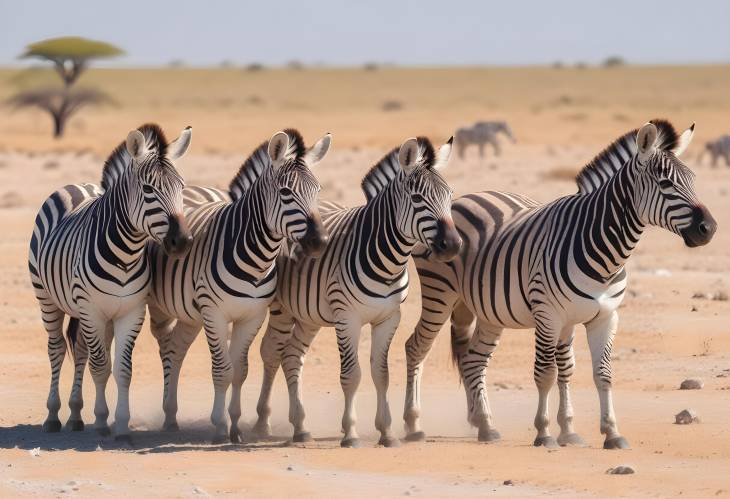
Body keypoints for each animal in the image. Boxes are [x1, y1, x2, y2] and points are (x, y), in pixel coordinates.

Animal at [29, 124, 192, 442]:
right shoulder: (92, 310)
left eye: (181, 187)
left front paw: (121, 426)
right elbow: (101, 366)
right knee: (57, 349)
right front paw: (104, 422)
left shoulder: (130, 311)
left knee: (80, 350)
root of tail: (78, 185)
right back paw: (53, 416)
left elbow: (122, 369)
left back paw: (76, 415)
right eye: (148, 190)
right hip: (48, 299)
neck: (126, 255)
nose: (182, 242)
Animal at [146, 130, 328, 446]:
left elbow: (240, 370)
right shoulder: (215, 313)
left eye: (317, 191)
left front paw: (235, 425)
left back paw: (170, 417)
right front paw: (220, 427)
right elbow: (222, 370)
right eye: (286, 193)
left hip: (190, 314)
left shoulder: (252, 316)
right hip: (159, 308)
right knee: (164, 349)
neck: (254, 258)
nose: (319, 241)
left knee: (177, 350)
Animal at [253, 136, 458, 450]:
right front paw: (350, 433)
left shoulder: (389, 318)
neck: (386, 261)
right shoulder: (347, 317)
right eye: (417, 199)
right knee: (271, 353)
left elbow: (381, 374)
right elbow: (352, 375)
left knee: (291, 356)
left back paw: (300, 427)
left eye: (449, 196)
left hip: (308, 315)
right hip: (281, 309)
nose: (453, 245)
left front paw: (386, 432)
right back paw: (262, 423)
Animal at [400, 120, 712, 450]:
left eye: (693, 179)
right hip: (440, 293)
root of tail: (461, 200)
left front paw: (605, 432)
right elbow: (547, 373)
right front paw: (545, 432)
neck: (602, 249)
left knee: (473, 360)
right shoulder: (549, 315)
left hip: (488, 310)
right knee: (416, 347)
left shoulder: (602, 317)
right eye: (665, 183)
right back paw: (414, 424)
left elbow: (597, 373)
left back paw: (485, 425)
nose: (709, 228)